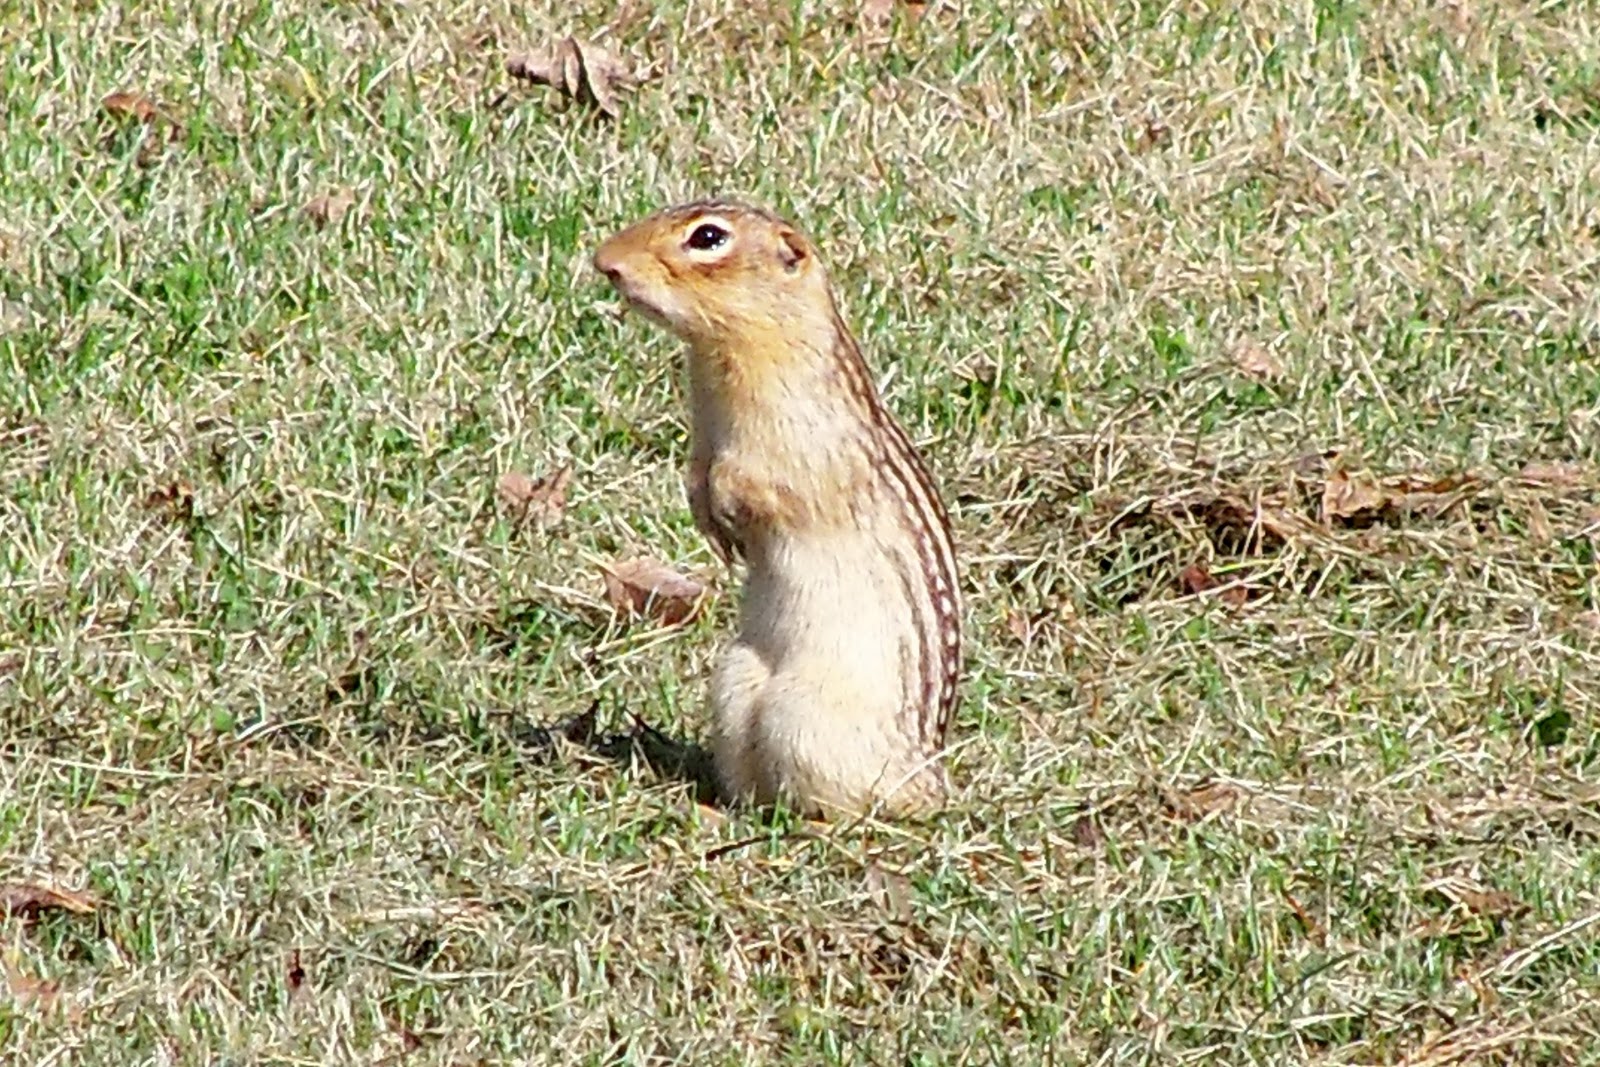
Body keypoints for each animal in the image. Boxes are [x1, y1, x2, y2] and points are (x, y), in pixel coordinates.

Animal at [592, 199, 962, 818]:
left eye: (708, 238)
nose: (605, 262)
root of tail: (928, 779)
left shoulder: (798, 443)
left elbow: (762, 484)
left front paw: (724, 506)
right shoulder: (704, 433)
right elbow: (696, 468)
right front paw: (705, 512)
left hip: (804, 720)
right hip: (735, 686)